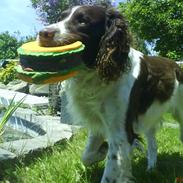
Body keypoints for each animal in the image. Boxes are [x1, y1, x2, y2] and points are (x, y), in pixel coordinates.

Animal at [37, 5, 183, 183]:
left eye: (83, 21)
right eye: (61, 17)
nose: (42, 33)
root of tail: (177, 66)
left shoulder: (119, 132)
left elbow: (111, 170)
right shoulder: (99, 121)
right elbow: (87, 156)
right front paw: (103, 150)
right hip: (150, 116)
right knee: (153, 145)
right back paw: (151, 169)